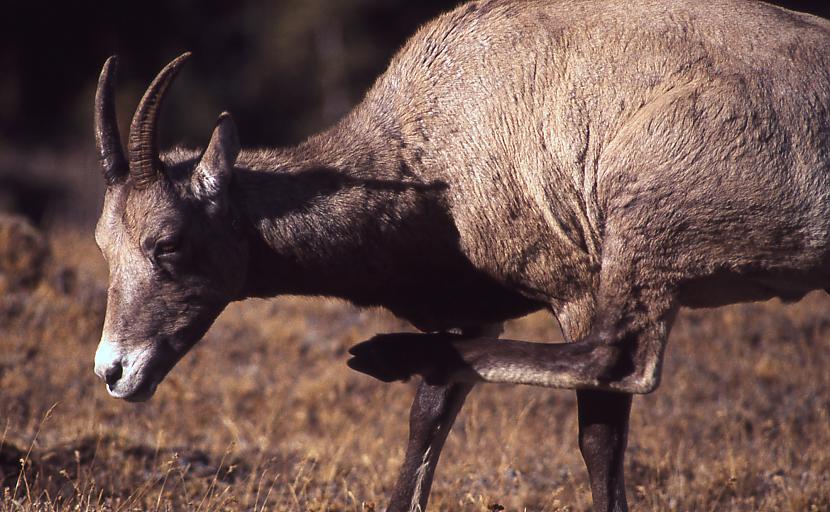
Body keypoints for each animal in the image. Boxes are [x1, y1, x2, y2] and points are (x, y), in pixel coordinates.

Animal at [91, 0, 830, 510]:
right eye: (104, 245)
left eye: (169, 243)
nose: (114, 371)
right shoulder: (470, 318)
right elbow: (429, 415)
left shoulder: (576, 289)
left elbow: (598, 436)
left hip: (641, 225)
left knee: (618, 359)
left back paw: (383, 354)